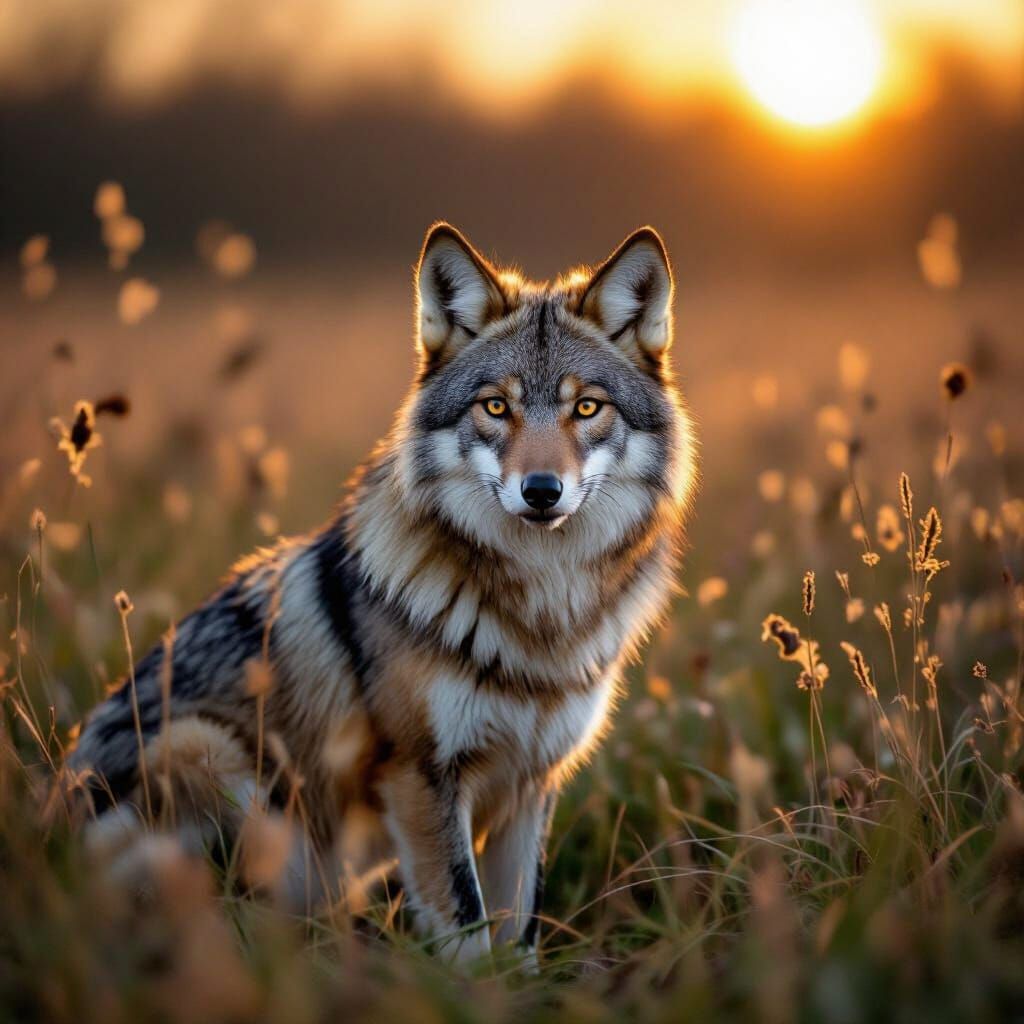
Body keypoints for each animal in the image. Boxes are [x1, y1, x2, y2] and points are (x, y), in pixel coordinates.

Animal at [65, 222, 697, 964]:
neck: (538, 615)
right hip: (210, 755)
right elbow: (466, 923)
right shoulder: (420, 777)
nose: (542, 491)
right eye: (496, 407)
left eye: (587, 408)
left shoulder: (531, 785)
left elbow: (519, 931)